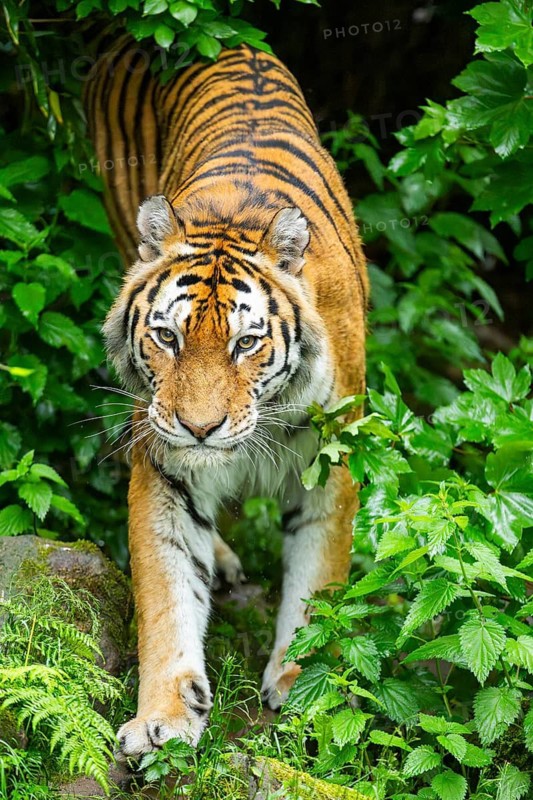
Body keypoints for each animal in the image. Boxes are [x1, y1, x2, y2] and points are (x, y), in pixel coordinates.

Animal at [84, 37, 367, 758]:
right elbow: (166, 592)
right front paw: (162, 717)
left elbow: (318, 584)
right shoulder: (161, 467)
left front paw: (302, 689)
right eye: (167, 336)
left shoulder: (333, 463)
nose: (200, 429)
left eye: (246, 343)